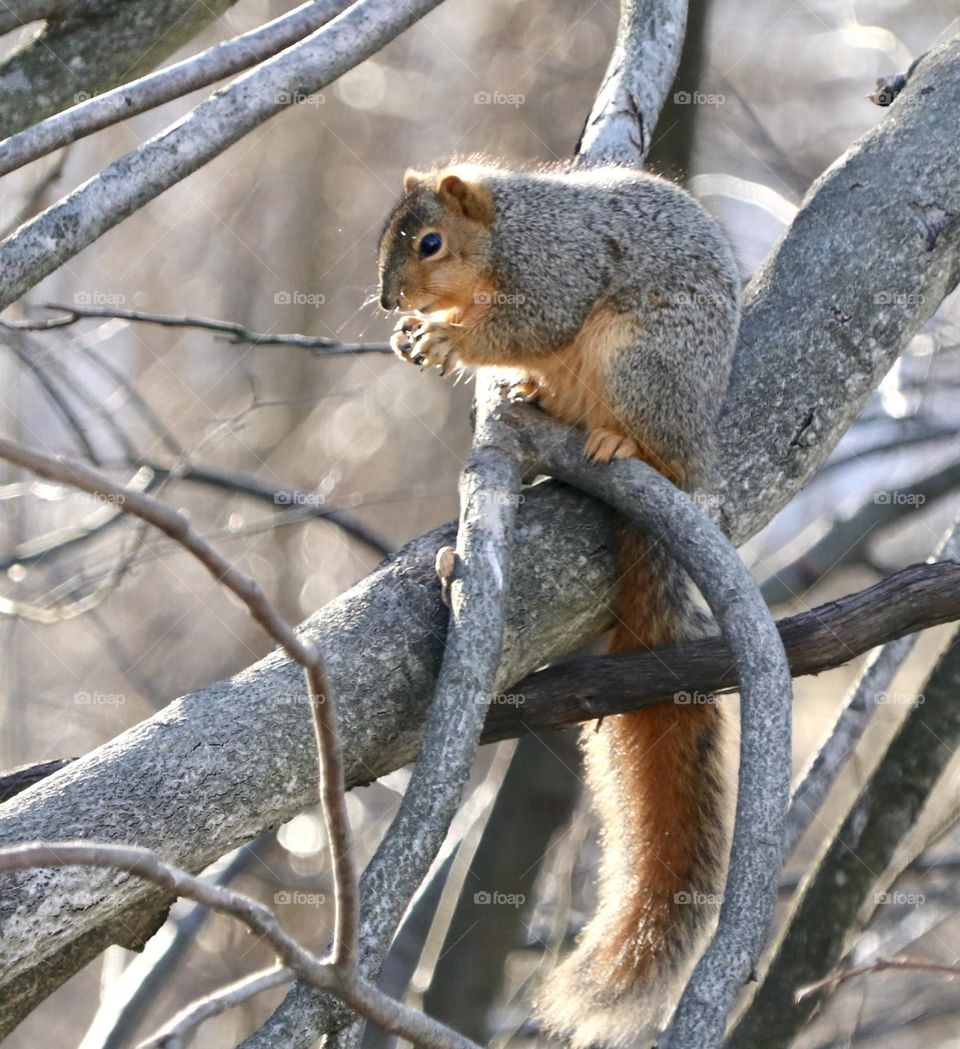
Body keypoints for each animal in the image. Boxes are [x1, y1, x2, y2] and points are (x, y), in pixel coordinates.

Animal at [377, 158, 740, 1046]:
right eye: (385, 235)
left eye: (429, 241)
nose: (389, 301)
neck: (503, 230)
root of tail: (695, 452)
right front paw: (421, 336)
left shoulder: (557, 269)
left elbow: (531, 320)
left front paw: (449, 337)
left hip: (641, 361)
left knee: (645, 436)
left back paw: (618, 440)